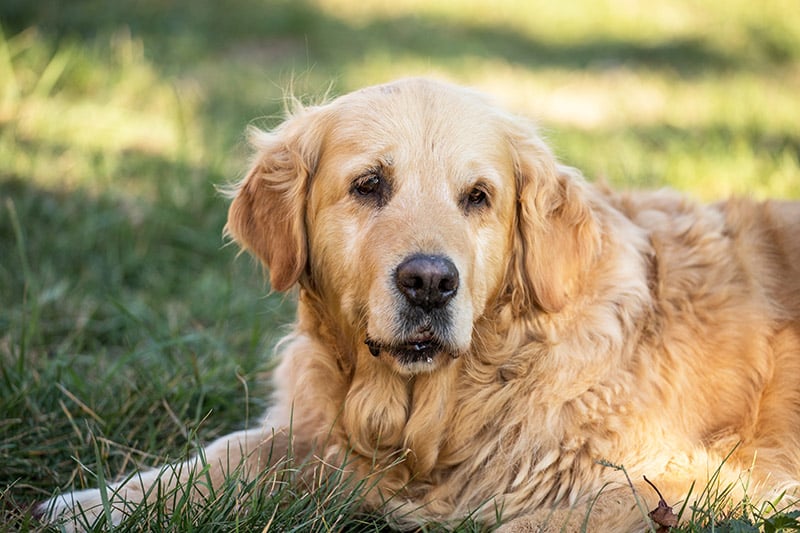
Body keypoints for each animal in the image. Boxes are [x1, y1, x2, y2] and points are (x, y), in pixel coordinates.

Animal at [39, 77, 800, 528]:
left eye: (478, 197)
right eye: (369, 184)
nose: (430, 282)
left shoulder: (682, 478)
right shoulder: (312, 433)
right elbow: (221, 455)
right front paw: (90, 503)